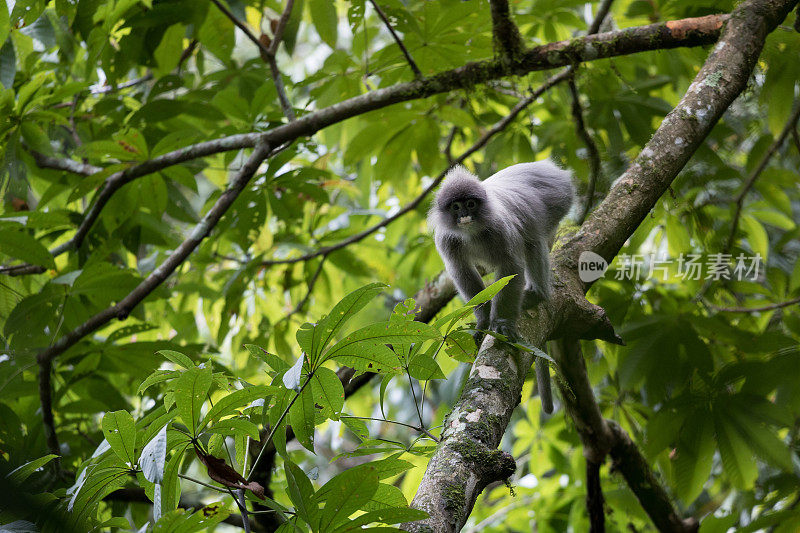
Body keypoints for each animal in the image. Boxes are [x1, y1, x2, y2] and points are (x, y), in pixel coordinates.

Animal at [428, 160, 572, 414]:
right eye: (456, 207)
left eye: (470, 204)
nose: (464, 214)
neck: (472, 232)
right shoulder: (447, 241)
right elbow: (461, 271)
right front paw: (484, 320)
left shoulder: (500, 228)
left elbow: (511, 266)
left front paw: (502, 323)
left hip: (558, 199)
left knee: (533, 239)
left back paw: (537, 294)